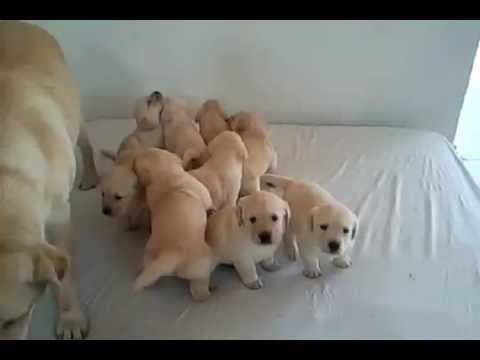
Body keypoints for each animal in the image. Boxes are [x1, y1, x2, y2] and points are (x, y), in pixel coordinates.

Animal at [0, 21, 99, 340]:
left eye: (14, 320)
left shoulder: (58, 219)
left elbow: (64, 279)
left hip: (76, 115)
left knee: (87, 147)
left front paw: (70, 318)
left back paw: (92, 175)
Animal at [131, 147, 214, 300]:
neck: (165, 174)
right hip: (202, 267)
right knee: (199, 292)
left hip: (150, 258)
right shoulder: (205, 196)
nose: (133, 161)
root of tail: (172, 253)